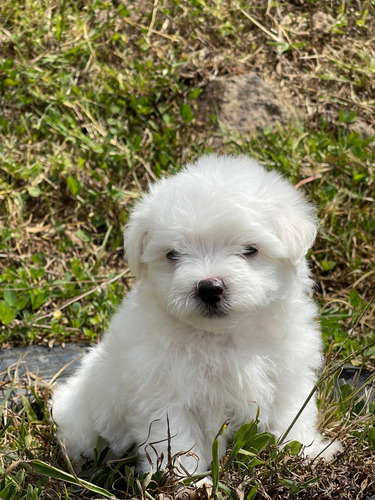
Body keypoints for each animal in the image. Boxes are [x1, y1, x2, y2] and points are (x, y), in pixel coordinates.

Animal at [51, 155, 342, 472]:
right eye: (173, 254)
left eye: (249, 250)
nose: (209, 288)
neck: (223, 336)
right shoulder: (163, 394)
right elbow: (176, 439)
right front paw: (183, 477)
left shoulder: (288, 373)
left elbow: (292, 415)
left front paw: (308, 451)